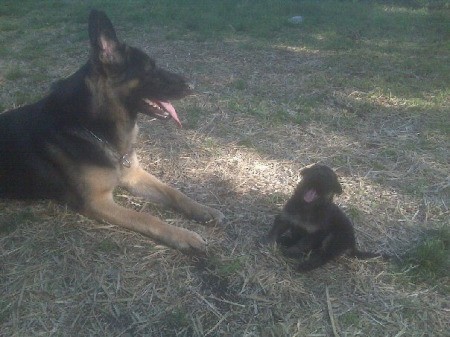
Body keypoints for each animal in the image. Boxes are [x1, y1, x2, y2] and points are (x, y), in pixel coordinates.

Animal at [0, 9, 224, 252]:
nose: (192, 86)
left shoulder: (133, 175)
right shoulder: (98, 202)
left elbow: (174, 192)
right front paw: (184, 236)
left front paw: (203, 210)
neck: (92, 127)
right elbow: (146, 218)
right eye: (149, 70)